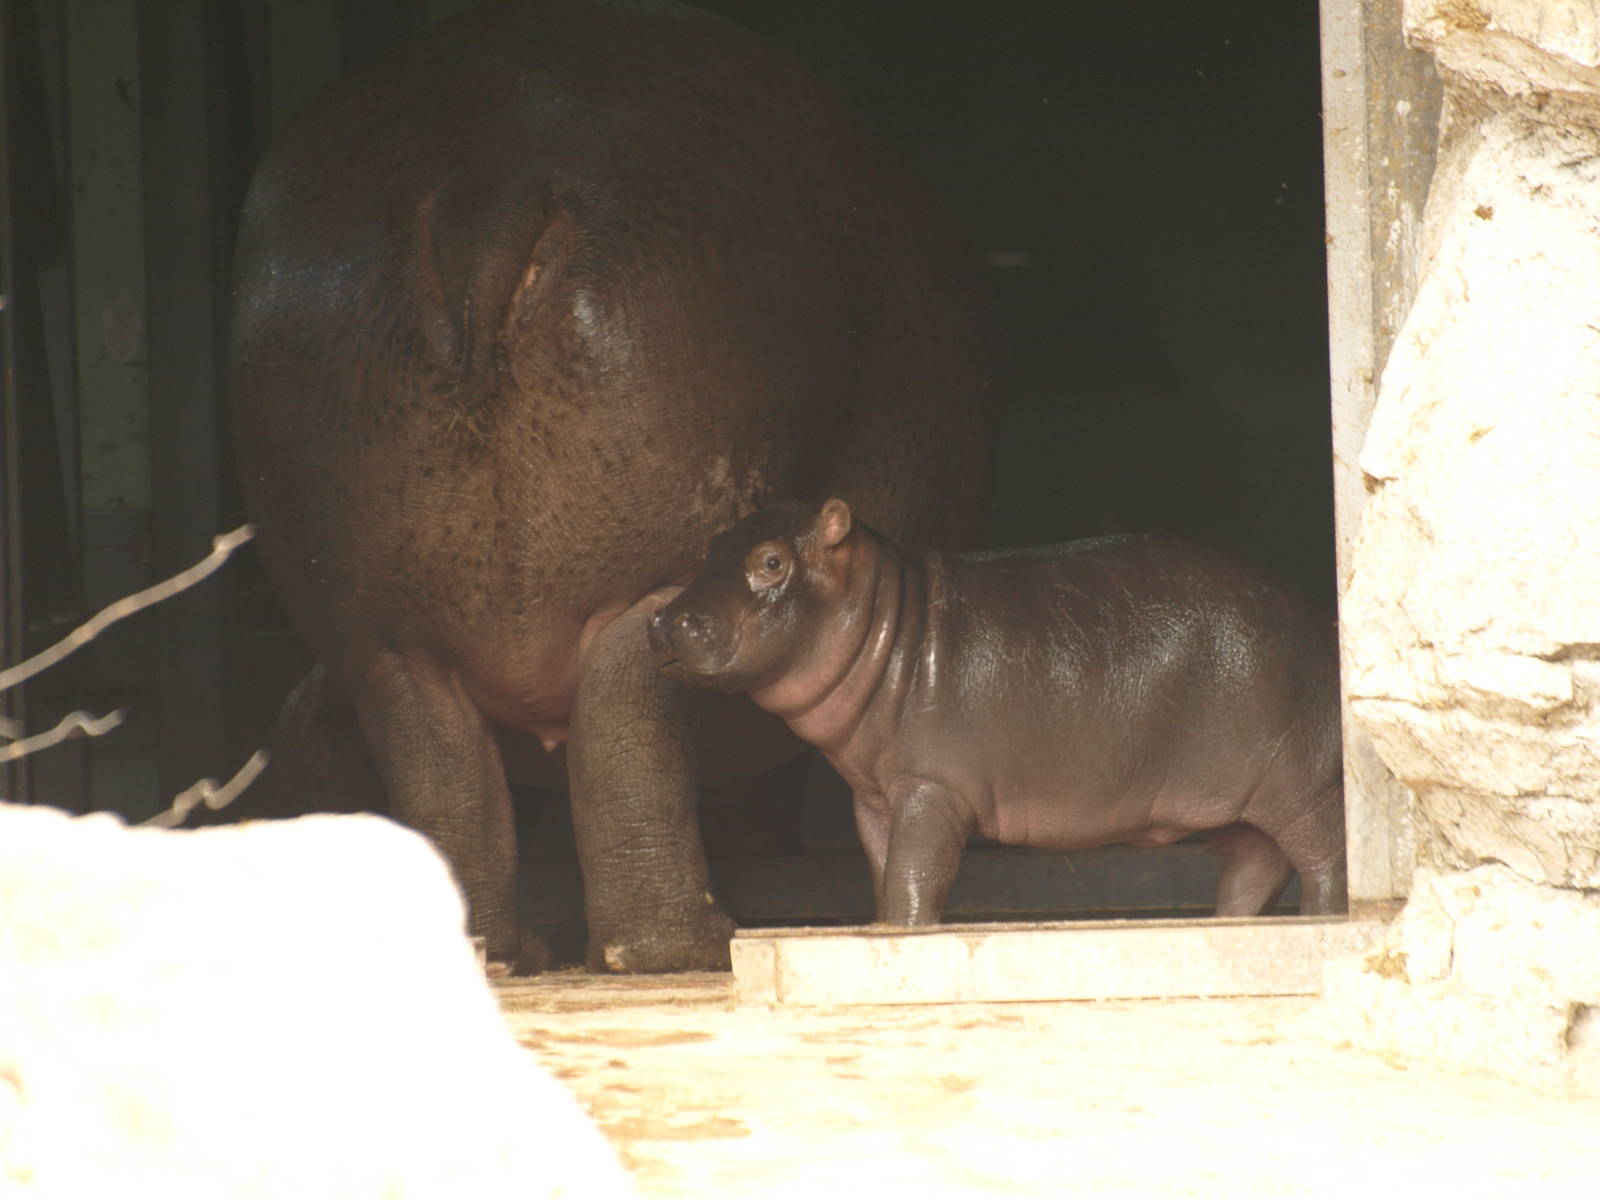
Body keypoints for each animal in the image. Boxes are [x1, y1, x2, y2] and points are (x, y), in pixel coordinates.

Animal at [228, 1, 999, 972]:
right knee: (629, 740)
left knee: (448, 778)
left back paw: (505, 952)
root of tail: (490, 182)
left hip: (379, 621)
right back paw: (689, 947)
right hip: (651, 591)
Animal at [649, 499, 1347, 925]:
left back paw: (1323, 923)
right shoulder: (874, 796)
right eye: (710, 549)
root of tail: (1324, 615)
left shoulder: (932, 786)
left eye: (771, 560)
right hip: (1241, 806)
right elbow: (881, 869)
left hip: (1305, 788)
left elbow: (917, 870)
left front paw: (906, 932)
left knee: (1329, 861)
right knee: (1256, 869)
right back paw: (1226, 924)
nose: (665, 617)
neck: (889, 622)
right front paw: (883, 928)